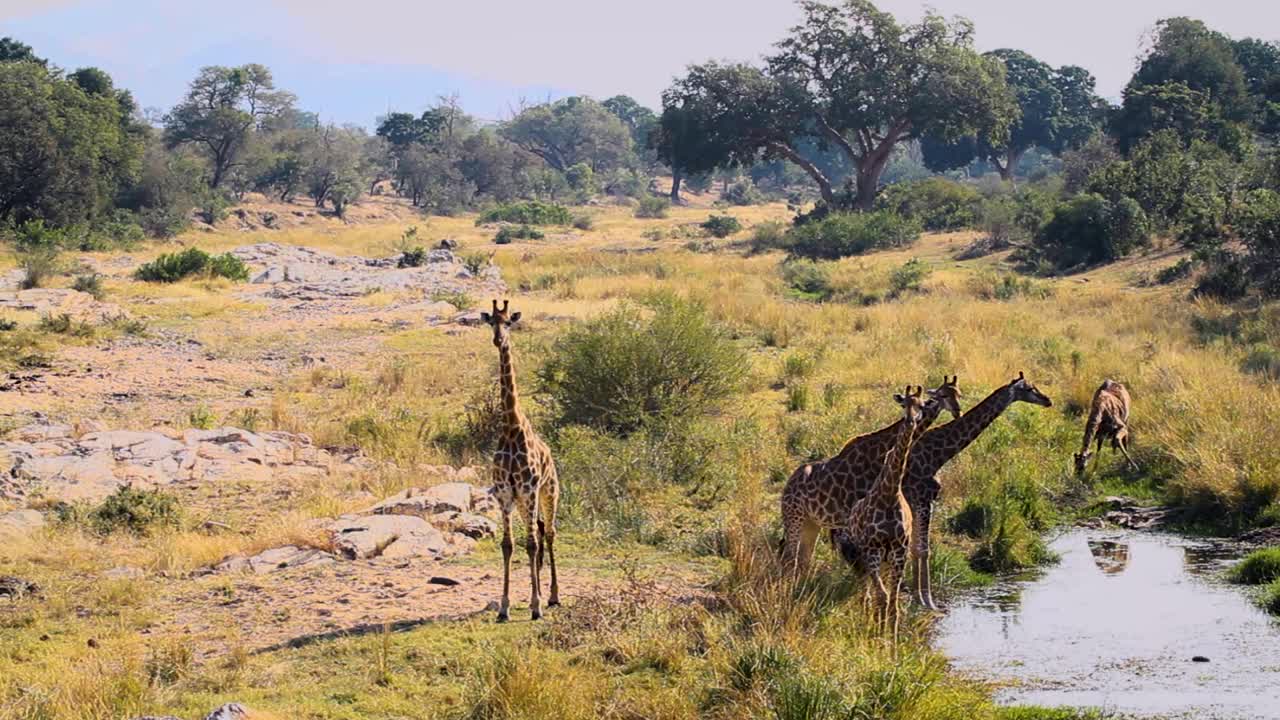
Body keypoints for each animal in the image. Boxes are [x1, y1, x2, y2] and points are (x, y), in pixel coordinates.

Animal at [778, 376, 962, 571]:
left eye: (958, 393)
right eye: (943, 394)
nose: (957, 411)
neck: (879, 454)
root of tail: (787, 485)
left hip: (810, 521)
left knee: (801, 557)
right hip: (795, 517)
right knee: (789, 555)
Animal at [834, 366, 1054, 607]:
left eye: (960, 393)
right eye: (1028, 388)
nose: (1048, 400)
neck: (938, 454)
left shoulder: (921, 501)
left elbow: (917, 548)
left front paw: (919, 596)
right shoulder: (922, 498)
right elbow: (922, 549)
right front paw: (926, 600)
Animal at [849, 386, 921, 638]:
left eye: (921, 405)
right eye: (903, 404)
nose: (910, 421)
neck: (889, 494)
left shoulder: (899, 552)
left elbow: (894, 603)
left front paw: (893, 641)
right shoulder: (872, 549)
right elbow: (882, 596)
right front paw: (880, 638)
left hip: (886, 559)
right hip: (865, 555)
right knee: (868, 594)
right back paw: (870, 622)